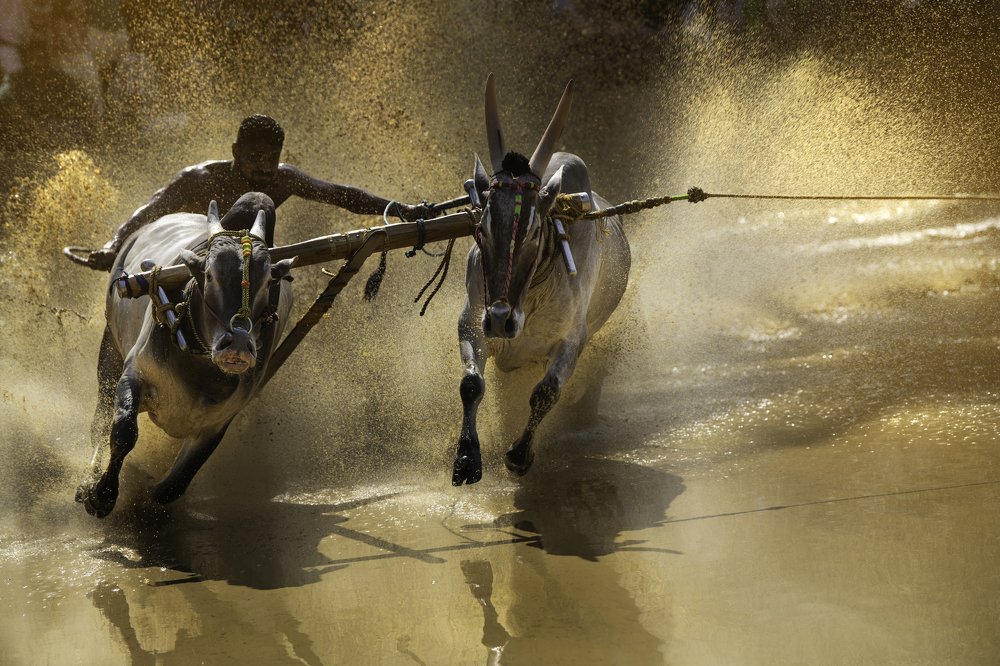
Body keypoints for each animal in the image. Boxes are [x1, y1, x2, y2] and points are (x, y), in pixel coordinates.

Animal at [75, 192, 295, 517]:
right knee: (99, 424)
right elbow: (123, 432)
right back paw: (88, 480)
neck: (201, 368)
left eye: (269, 281)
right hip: (110, 349)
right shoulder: (134, 373)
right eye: (209, 275)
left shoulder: (219, 422)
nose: (238, 346)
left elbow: (175, 484)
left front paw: (146, 495)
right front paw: (100, 495)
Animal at [452, 75, 632, 485]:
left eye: (534, 230)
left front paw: (519, 455)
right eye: (482, 225)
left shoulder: (573, 339)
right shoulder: (471, 321)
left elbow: (546, 393)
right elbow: (471, 384)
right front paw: (466, 458)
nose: (500, 320)